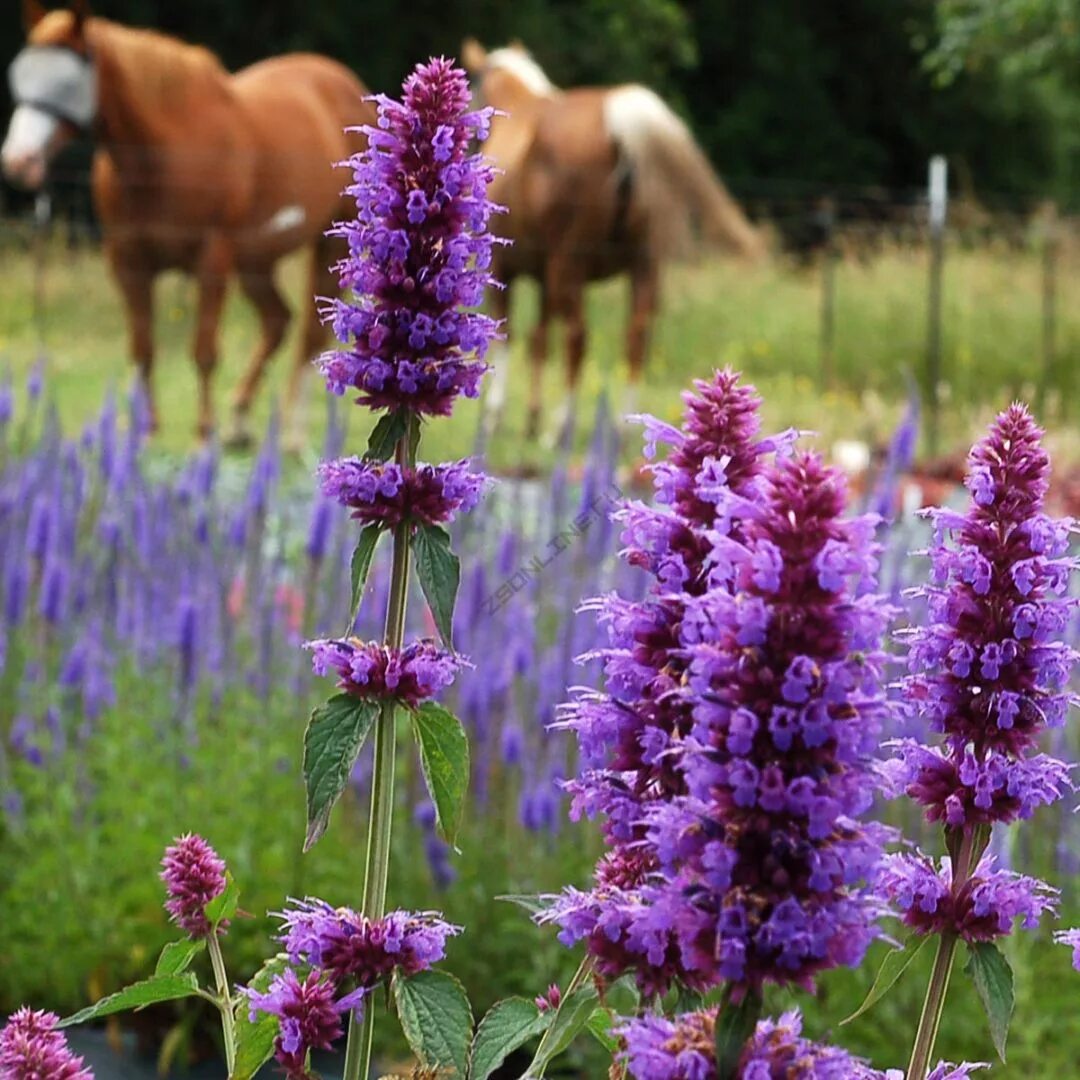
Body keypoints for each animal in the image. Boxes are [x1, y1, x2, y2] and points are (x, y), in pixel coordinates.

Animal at [2, 1, 375, 442]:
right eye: (21, 74)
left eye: (65, 81)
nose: (19, 161)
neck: (164, 150)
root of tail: (342, 82)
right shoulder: (128, 262)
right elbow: (143, 348)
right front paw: (144, 432)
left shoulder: (212, 258)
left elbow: (204, 350)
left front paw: (203, 433)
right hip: (255, 260)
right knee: (277, 321)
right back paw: (240, 418)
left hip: (329, 242)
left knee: (309, 334)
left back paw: (291, 432)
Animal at [460, 39, 764, 440]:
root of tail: (620, 124)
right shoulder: (544, 277)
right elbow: (539, 340)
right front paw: (530, 417)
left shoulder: (507, 269)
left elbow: (509, 335)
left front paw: (496, 416)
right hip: (642, 264)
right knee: (636, 336)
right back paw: (625, 425)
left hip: (569, 265)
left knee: (577, 337)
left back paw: (561, 426)